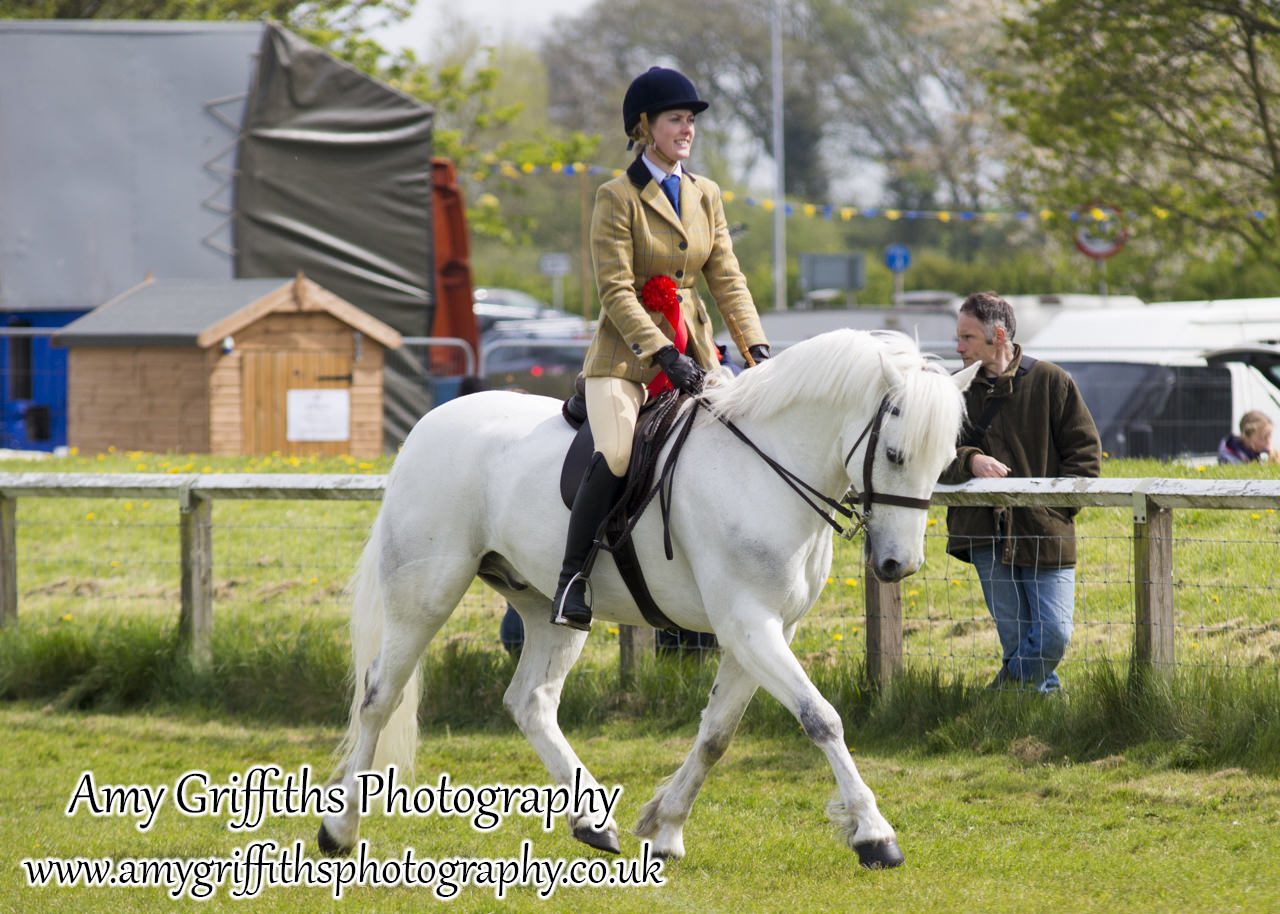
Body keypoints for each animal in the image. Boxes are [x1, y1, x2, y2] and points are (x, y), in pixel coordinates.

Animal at [320, 330, 977, 870]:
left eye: (945, 461)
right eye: (893, 454)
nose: (898, 566)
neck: (766, 467)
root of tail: (427, 425)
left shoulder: (766, 631)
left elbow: (716, 734)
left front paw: (664, 828)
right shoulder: (748, 624)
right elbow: (821, 718)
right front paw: (874, 833)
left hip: (550, 609)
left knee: (530, 701)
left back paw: (594, 822)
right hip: (425, 594)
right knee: (379, 697)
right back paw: (339, 830)